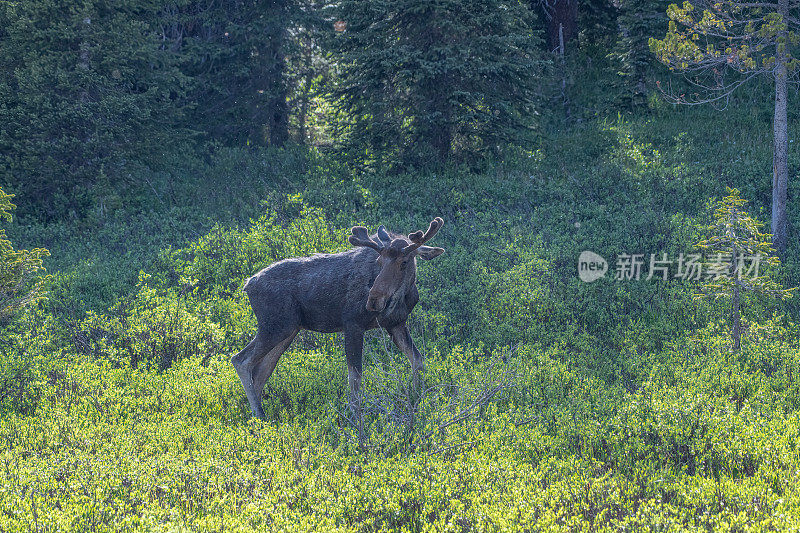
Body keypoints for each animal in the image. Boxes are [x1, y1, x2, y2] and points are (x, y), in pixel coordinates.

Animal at [231, 216, 446, 420]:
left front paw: (416, 398)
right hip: (275, 327)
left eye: (404, 262)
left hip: (288, 331)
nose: (373, 300)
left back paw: (259, 418)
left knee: (260, 372)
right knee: (241, 360)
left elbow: (418, 360)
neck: (403, 296)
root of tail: (247, 285)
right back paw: (259, 414)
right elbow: (355, 376)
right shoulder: (352, 323)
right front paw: (355, 416)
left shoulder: (396, 324)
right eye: (379, 261)